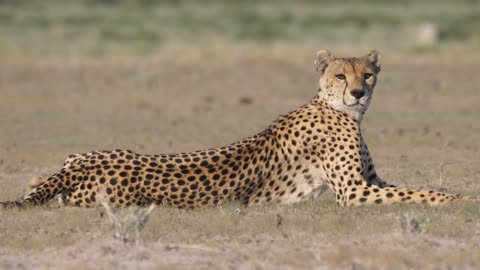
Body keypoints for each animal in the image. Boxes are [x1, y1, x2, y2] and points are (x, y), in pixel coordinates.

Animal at [0, 49, 472, 209]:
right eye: (341, 75)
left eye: (368, 74)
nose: (357, 92)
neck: (338, 110)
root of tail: (85, 164)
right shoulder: (354, 192)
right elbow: (418, 193)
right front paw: (462, 200)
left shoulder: (370, 180)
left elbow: (416, 186)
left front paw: (459, 194)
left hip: (81, 154)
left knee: (39, 182)